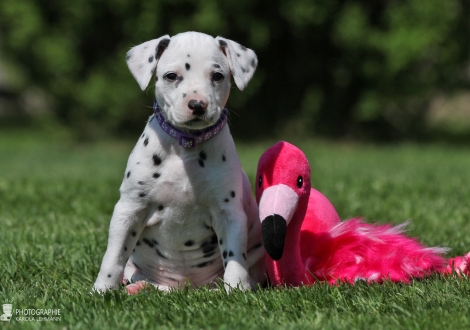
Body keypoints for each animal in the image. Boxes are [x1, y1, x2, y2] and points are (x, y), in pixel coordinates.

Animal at [92, 32, 266, 292]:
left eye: (217, 76)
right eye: (171, 76)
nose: (197, 104)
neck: (186, 146)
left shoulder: (229, 213)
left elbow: (235, 257)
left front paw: (237, 289)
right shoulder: (129, 209)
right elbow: (114, 256)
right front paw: (102, 290)